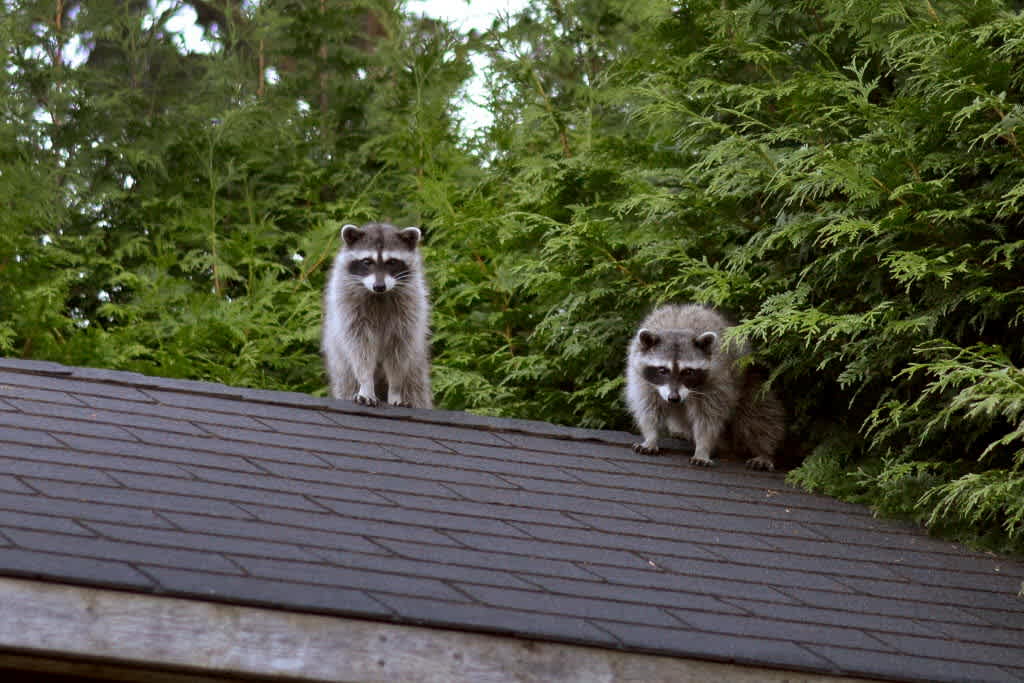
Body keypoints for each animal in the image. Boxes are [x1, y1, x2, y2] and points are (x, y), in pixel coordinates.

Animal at [321, 222, 432, 409]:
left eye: (392, 262)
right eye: (367, 261)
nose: (379, 286)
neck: (379, 296)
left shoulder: (409, 310)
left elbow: (398, 353)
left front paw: (395, 390)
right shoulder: (349, 308)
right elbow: (360, 350)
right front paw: (366, 385)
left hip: (416, 370)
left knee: (416, 389)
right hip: (342, 369)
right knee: (346, 383)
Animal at [625, 303, 784, 471]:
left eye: (688, 372)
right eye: (662, 370)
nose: (674, 398)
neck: (677, 328)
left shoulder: (717, 380)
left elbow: (708, 417)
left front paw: (703, 447)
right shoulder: (642, 378)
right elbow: (648, 408)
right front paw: (651, 437)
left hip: (750, 381)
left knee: (758, 414)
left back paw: (765, 452)